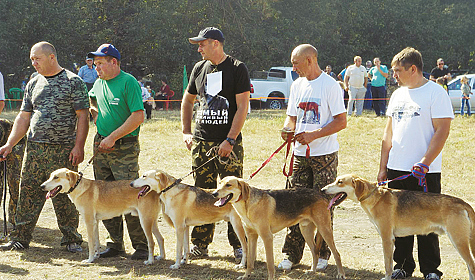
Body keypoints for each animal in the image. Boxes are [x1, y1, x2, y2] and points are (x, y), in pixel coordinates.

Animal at [213, 176, 346, 278]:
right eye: (220, 183)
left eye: (228, 185)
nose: (214, 193)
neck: (248, 205)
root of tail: (322, 195)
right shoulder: (251, 237)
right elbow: (250, 262)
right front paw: (246, 276)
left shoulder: (267, 237)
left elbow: (270, 264)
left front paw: (270, 278)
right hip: (305, 230)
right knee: (315, 252)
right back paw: (312, 271)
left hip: (324, 230)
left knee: (337, 254)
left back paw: (341, 274)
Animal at [322, 175, 475, 280]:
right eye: (336, 180)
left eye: (340, 182)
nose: (322, 189)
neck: (374, 197)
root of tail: (463, 203)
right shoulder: (391, 240)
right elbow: (390, 263)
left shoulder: (386, 239)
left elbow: (387, 264)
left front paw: (387, 278)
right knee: (470, 267)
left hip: (459, 242)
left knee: (472, 265)